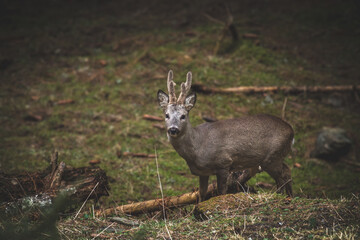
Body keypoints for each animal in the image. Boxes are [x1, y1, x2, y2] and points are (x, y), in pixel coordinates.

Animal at [157, 70, 292, 202]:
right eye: (167, 115)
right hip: (276, 157)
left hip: (272, 157)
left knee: (281, 178)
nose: (173, 129)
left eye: (183, 116)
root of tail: (291, 130)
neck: (198, 148)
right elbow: (201, 194)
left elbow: (221, 192)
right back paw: (290, 196)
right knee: (287, 171)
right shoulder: (203, 172)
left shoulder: (224, 163)